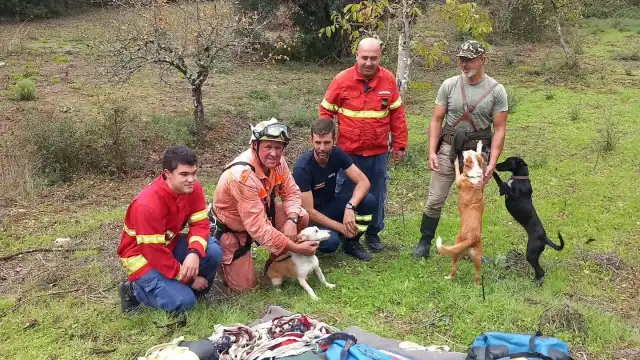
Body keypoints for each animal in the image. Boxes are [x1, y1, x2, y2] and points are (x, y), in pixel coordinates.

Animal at [438, 141, 488, 286]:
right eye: (471, 152)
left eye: (467, 155)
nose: (463, 151)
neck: (474, 175)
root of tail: (471, 238)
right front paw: (479, 145)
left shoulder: (458, 179)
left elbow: (456, 169)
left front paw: (455, 160)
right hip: (477, 258)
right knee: (477, 275)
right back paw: (477, 286)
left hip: (455, 251)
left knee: (454, 269)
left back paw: (448, 278)